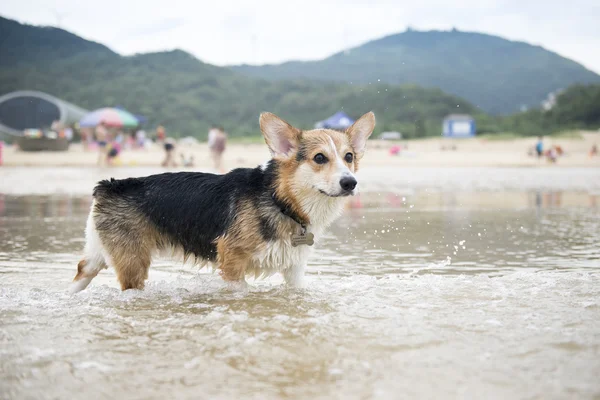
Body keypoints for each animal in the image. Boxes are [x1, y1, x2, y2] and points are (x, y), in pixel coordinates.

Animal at [70, 111, 376, 292]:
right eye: (320, 158)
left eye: (349, 157)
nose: (350, 183)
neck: (280, 199)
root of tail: (108, 186)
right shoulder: (232, 262)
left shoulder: (294, 269)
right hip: (133, 263)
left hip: (99, 253)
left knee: (83, 270)